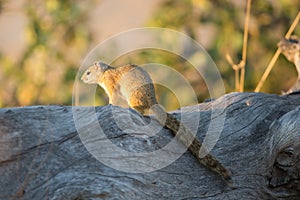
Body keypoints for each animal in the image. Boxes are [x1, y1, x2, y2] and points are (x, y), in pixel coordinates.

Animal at [80, 61, 232, 184]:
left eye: (88, 72)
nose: (81, 79)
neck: (106, 72)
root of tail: (153, 101)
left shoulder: (111, 86)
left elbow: (113, 99)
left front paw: (109, 105)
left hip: (133, 96)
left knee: (140, 111)